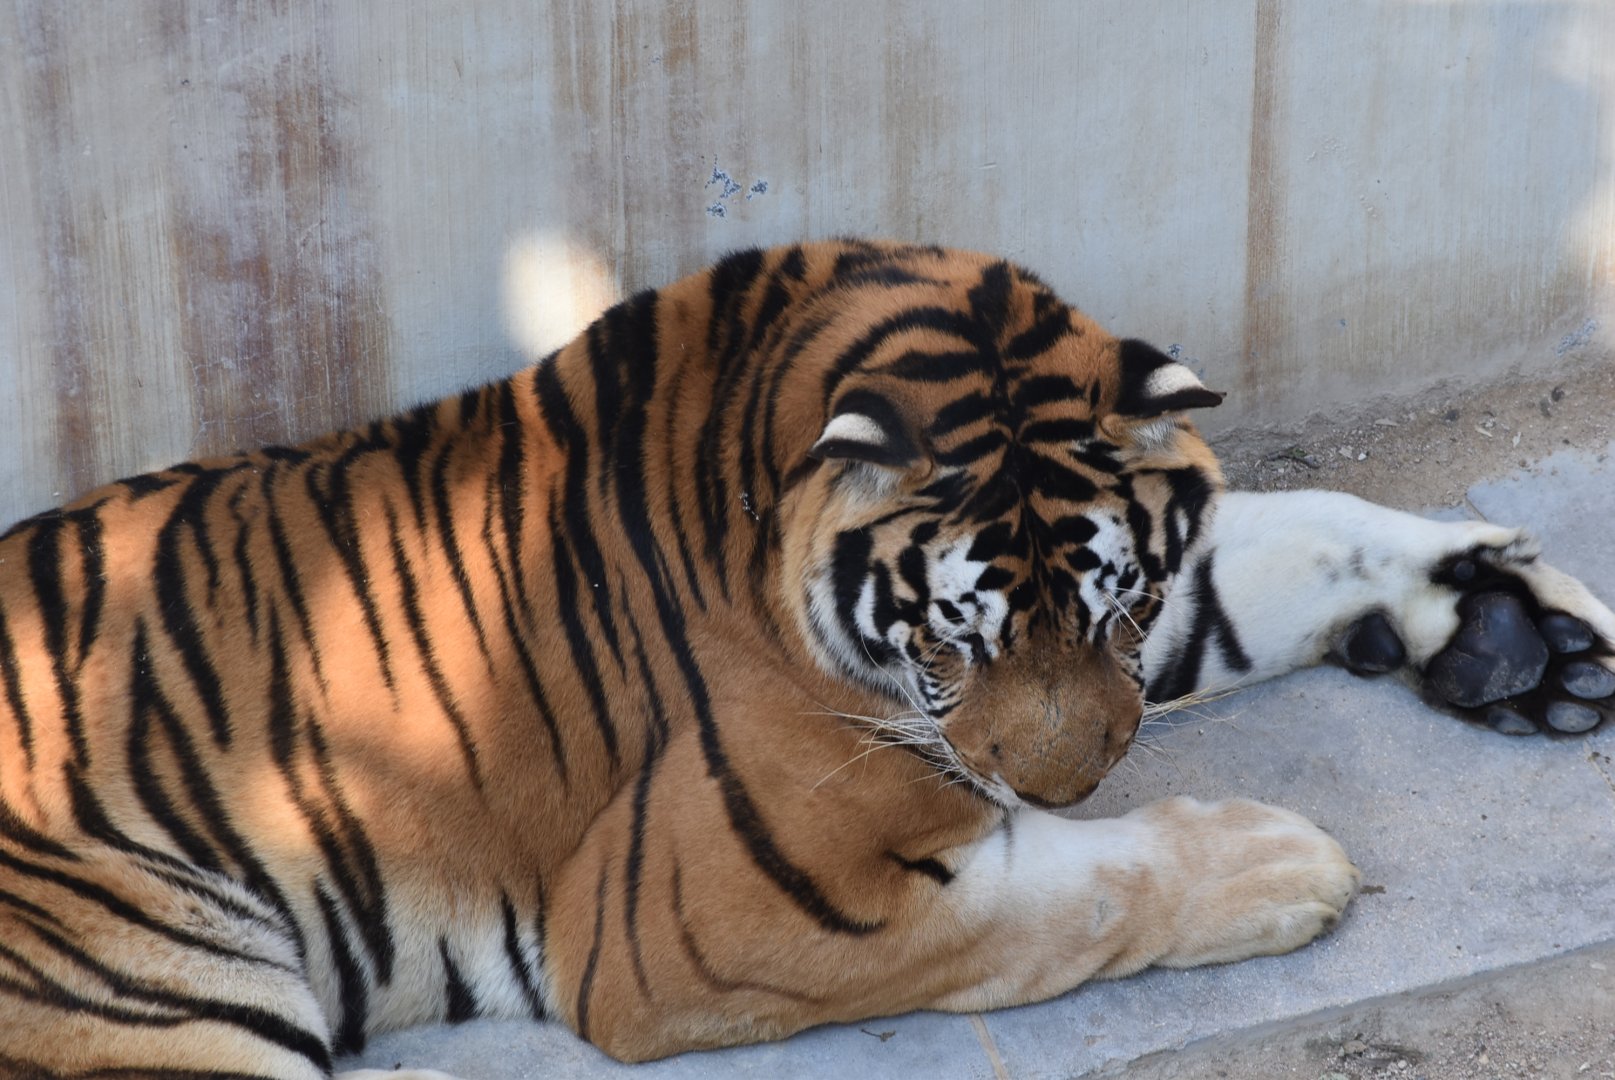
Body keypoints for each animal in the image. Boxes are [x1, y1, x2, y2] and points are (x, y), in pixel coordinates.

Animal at [1, 239, 1611, 1079]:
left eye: (1109, 602)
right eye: (956, 628)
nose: (1064, 786)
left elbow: (1294, 537)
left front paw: (1511, 628)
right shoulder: (710, 911)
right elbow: (1076, 897)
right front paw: (1282, 864)